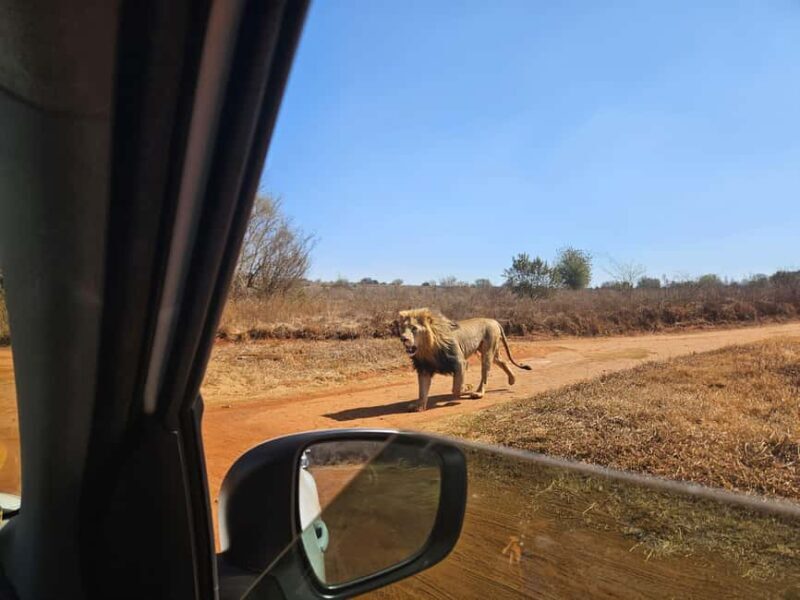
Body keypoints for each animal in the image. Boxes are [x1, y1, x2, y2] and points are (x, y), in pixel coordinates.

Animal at [396, 308, 532, 411]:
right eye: (403, 328)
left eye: (414, 328)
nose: (403, 338)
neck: (428, 349)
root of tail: (494, 321)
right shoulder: (424, 368)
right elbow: (422, 390)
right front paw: (419, 406)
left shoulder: (459, 362)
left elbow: (456, 387)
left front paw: (466, 387)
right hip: (489, 351)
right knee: (501, 361)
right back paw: (512, 379)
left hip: (487, 351)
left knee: (485, 373)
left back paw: (478, 393)